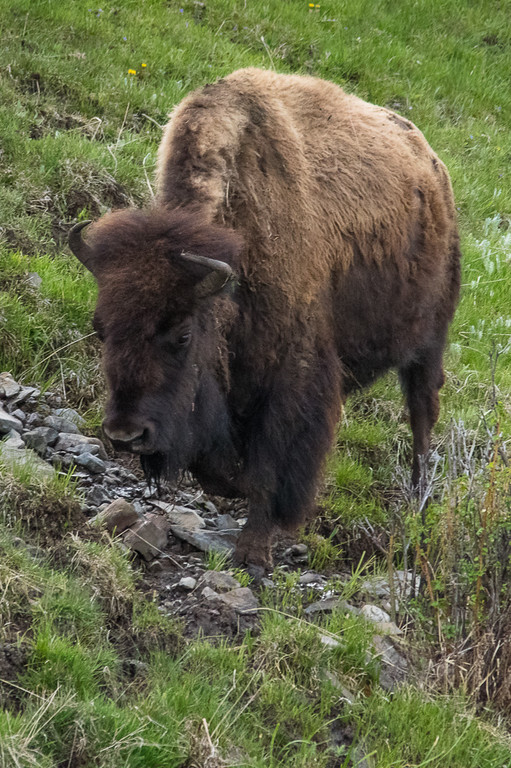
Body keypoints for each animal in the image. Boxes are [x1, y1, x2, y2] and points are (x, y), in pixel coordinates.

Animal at [68, 69, 460, 572]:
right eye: (101, 328)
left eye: (183, 333)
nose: (125, 434)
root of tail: (432, 167)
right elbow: (218, 469)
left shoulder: (291, 376)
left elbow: (269, 464)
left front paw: (255, 548)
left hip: (429, 344)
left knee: (422, 417)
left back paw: (418, 504)